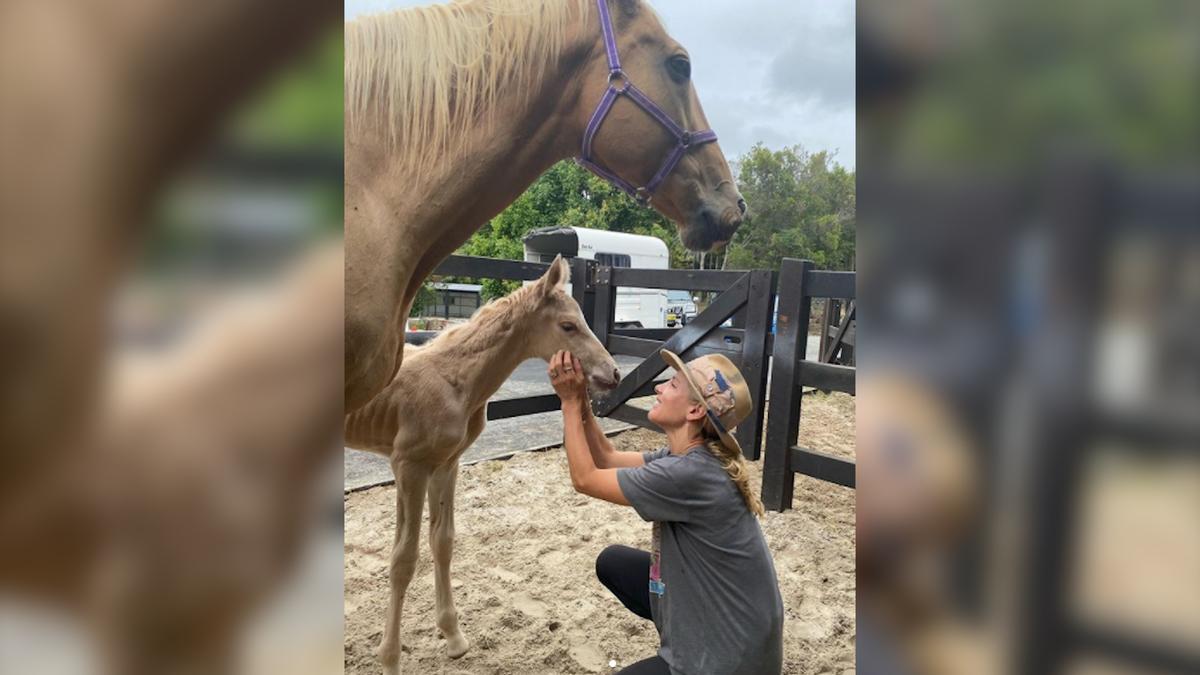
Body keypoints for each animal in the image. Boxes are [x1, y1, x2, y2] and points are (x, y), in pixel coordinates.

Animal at [340, 254, 614, 667]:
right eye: (568, 325)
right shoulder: (408, 466)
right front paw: (389, 659)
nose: (613, 373)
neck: (455, 380)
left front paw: (453, 637)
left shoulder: (445, 464)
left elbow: (442, 542)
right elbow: (403, 559)